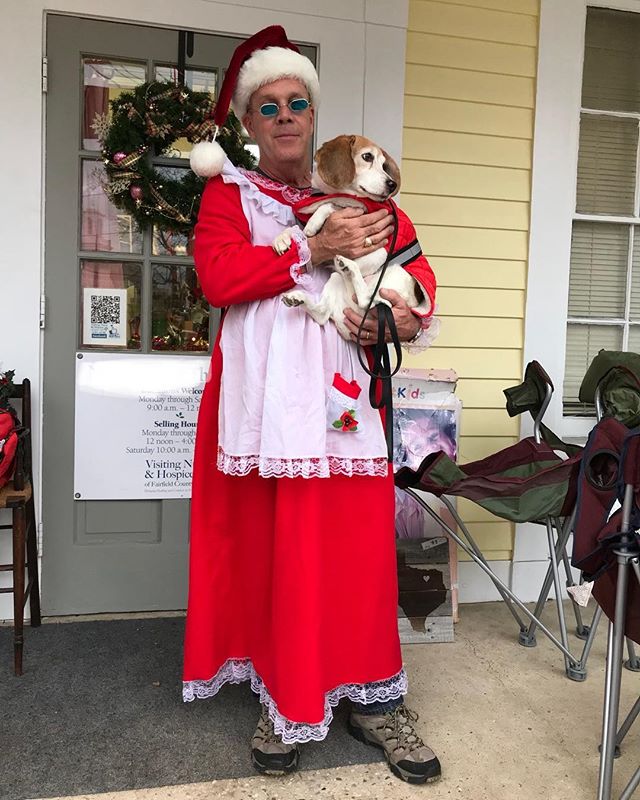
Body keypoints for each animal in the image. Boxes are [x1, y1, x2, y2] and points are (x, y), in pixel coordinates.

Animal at [272, 134, 424, 340]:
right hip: (335, 279)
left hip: (390, 276)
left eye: (384, 165)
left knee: (367, 300)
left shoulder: (378, 248)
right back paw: (300, 297)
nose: (392, 184)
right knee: (323, 314)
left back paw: (348, 265)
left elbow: (329, 206)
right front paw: (282, 239)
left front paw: (313, 222)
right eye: (367, 157)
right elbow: (297, 228)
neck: (332, 193)